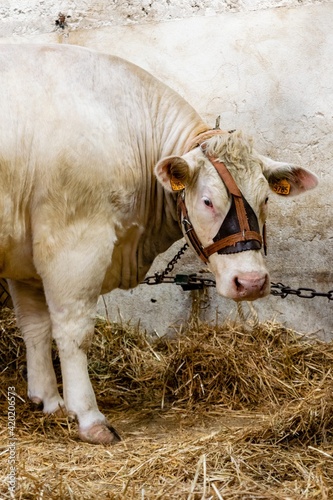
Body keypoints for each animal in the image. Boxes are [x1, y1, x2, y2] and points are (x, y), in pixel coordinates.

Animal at [0, 42, 316, 442]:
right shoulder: (72, 242)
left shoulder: (24, 255)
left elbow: (35, 327)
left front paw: (48, 401)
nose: (251, 282)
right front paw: (88, 417)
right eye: (207, 201)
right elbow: (73, 331)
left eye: (266, 199)